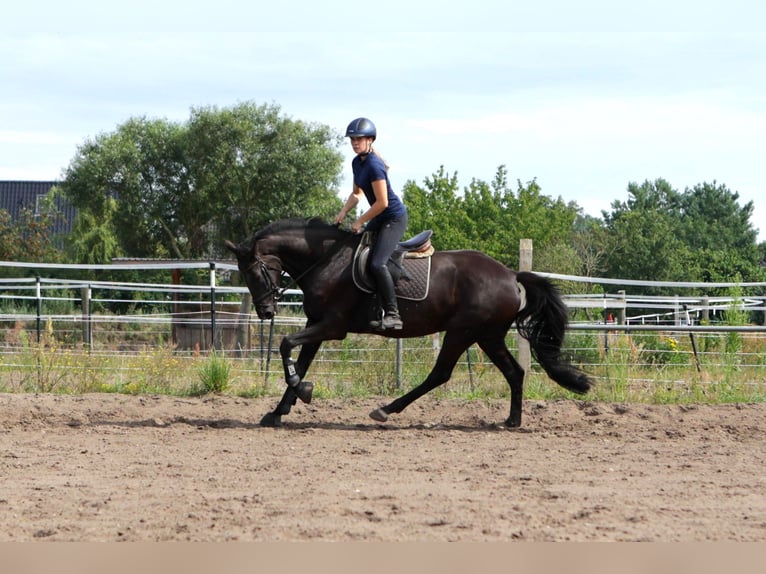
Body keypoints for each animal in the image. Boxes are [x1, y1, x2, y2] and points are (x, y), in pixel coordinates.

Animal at [225, 218, 596, 430]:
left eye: (254, 271)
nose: (266, 312)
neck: (328, 260)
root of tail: (510, 274)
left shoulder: (332, 326)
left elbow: (286, 344)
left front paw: (302, 392)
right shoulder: (316, 324)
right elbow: (298, 360)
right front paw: (280, 410)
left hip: (462, 332)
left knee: (440, 374)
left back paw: (386, 410)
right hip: (486, 335)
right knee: (514, 372)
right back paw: (512, 421)